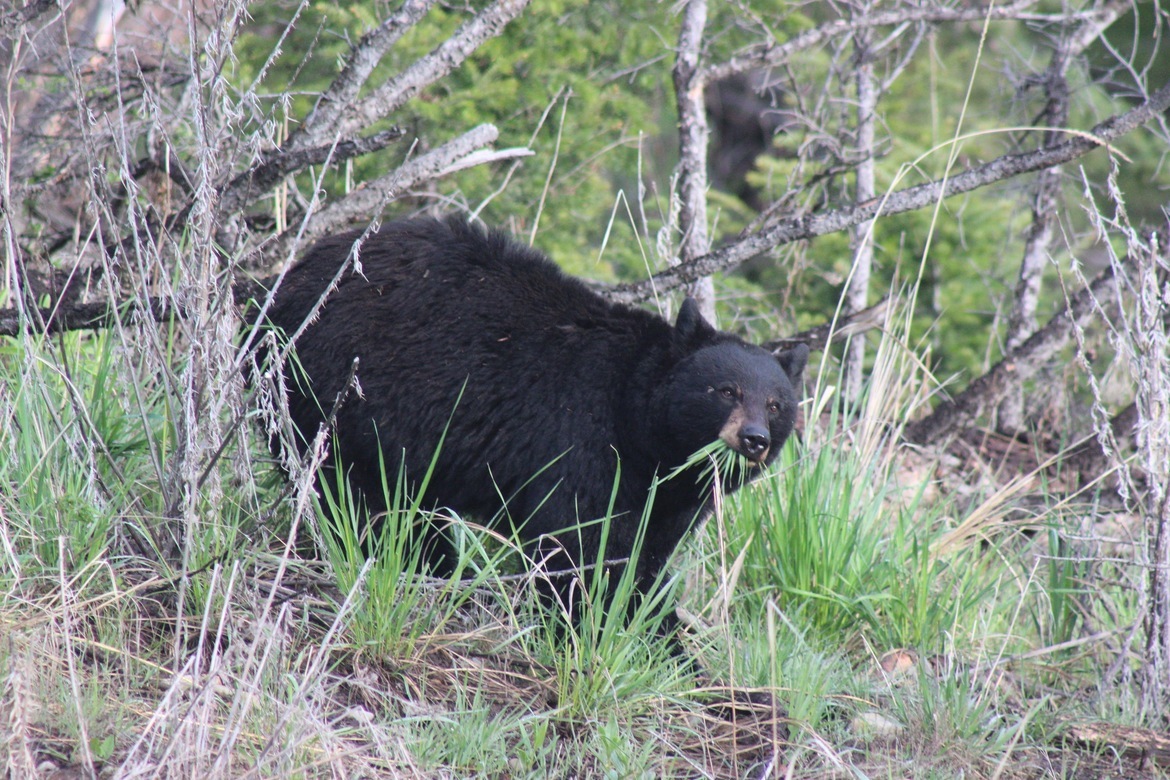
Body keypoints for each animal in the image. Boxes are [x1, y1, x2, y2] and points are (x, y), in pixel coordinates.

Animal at [256, 218, 808, 629]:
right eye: (727, 390)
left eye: (776, 404)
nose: (754, 439)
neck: (642, 430)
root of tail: (285, 281)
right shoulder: (581, 436)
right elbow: (581, 546)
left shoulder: (668, 499)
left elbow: (644, 556)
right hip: (335, 393)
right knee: (361, 498)